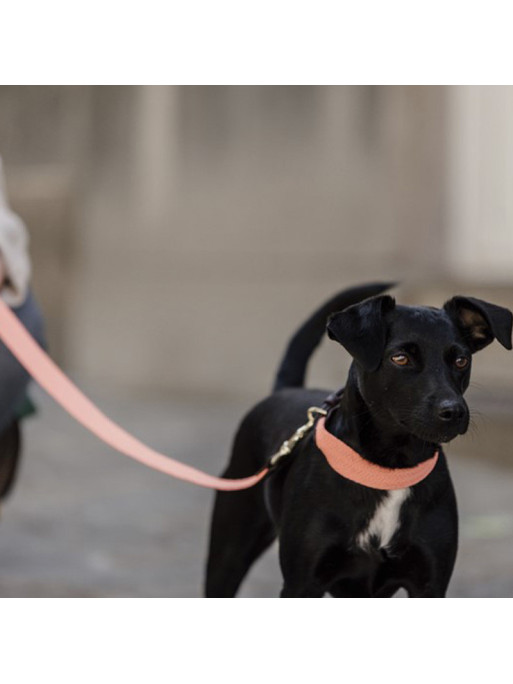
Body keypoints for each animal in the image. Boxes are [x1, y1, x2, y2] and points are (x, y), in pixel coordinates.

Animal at [205, 280, 512, 596]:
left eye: (461, 360)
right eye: (400, 358)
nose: (454, 411)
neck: (390, 469)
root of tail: (285, 391)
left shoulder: (430, 583)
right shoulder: (302, 583)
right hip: (228, 553)